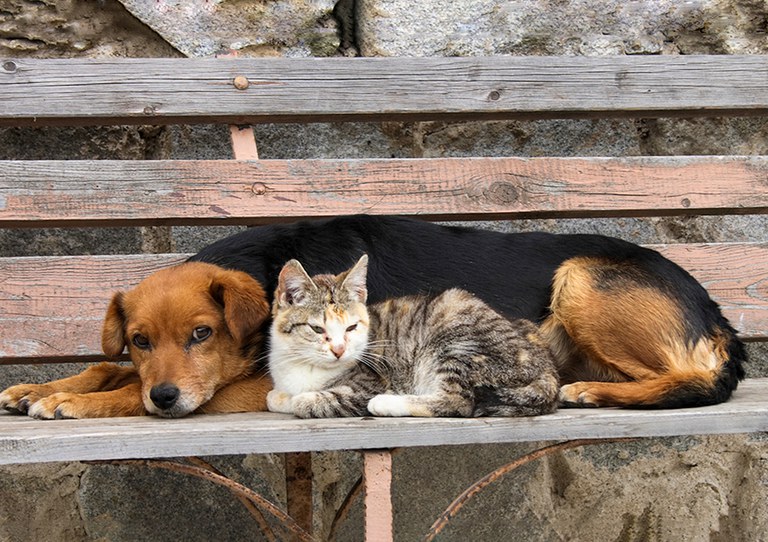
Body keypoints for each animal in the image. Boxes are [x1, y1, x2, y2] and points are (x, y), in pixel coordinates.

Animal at [268, 255, 560, 420]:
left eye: (351, 328)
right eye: (318, 329)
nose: (340, 350)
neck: (304, 365)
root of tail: (548, 371)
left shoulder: (369, 382)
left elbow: (309, 401)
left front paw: (299, 399)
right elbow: (275, 397)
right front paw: (281, 396)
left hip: (457, 338)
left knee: (458, 401)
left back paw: (386, 403)